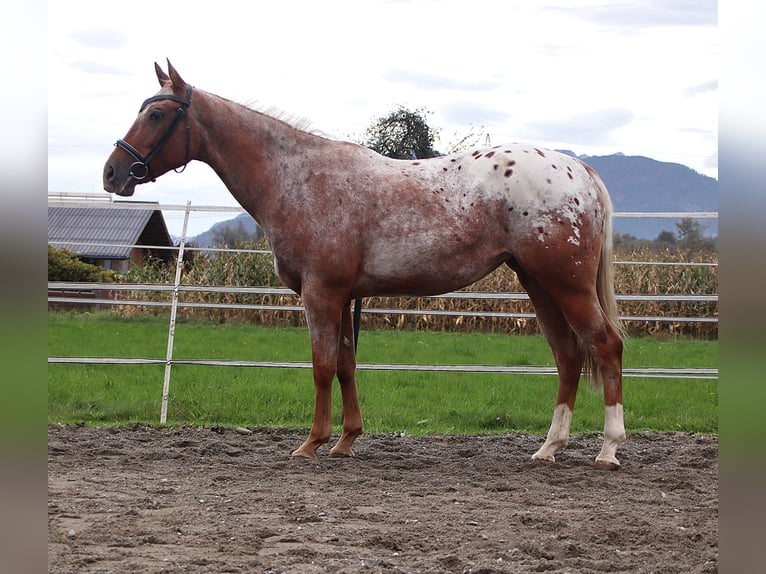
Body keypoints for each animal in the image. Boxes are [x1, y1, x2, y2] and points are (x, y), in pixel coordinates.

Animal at [102, 60, 628, 470]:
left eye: (157, 113)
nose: (112, 173)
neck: (298, 178)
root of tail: (578, 170)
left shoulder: (321, 293)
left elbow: (321, 366)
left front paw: (311, 444)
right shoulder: (344, 297)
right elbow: (346, 365)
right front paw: (345, 441)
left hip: (567, 285)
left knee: (605, 345)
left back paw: (608, 449)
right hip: (539, 284)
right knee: (568, 356)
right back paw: (549, 448)